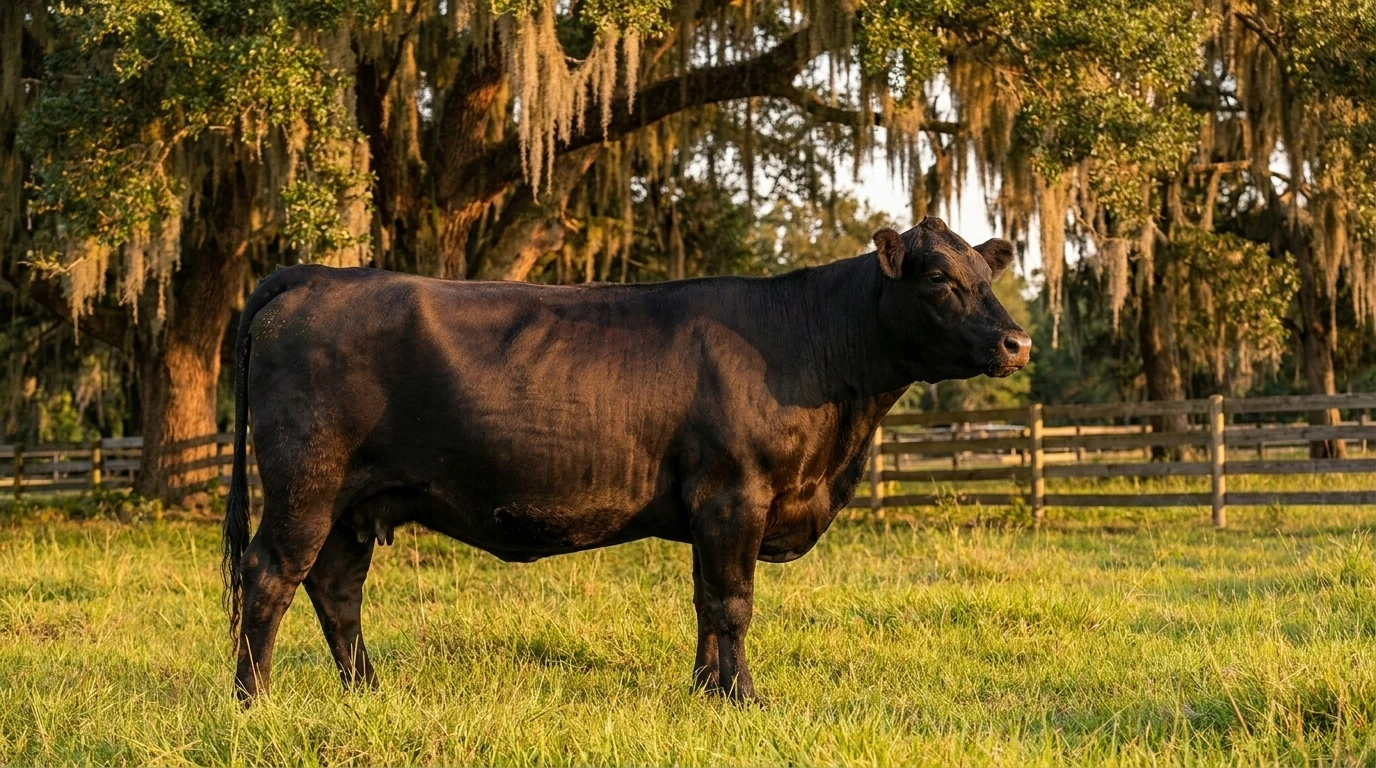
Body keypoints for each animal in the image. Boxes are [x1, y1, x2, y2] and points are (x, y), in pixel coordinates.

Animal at [222, 216, 1030, 703]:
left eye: (986, 277)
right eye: (939, 279)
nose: (1018, 342)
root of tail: (317, 274)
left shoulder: (714, 510)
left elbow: (705, 601)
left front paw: (706, 691)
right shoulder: (733, 495)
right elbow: (733, 602)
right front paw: (743, 697)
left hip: (353, 504)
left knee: (335, 589)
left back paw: (368, 690)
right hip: (305, 484)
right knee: (269, 577)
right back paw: (253, 701)